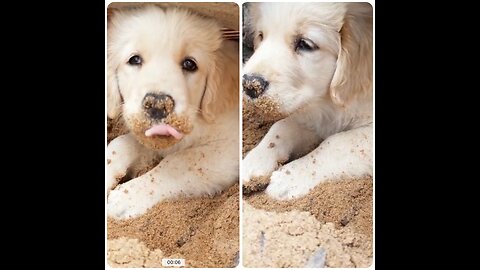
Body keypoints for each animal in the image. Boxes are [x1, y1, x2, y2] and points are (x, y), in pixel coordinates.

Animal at [106, 5, 238, 218]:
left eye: (189, 64)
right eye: (134, 60)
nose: (158, 104)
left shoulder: (228, 147)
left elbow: (178, 162)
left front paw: (126, 197)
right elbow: (122, 143)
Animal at [242, 3, 374, 199]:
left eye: (305, 44)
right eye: (261, 36)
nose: (249, 84)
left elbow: (338, 142)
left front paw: (290, 177)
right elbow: (282, 126)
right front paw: (253, 163)